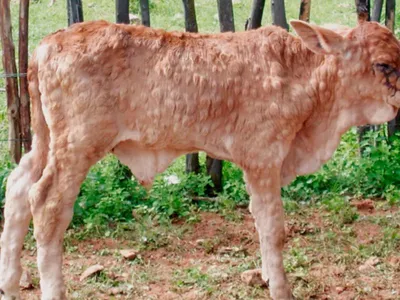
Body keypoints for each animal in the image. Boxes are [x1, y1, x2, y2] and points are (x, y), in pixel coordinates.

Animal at [0, 19, 400, 298]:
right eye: (384, 65)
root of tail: (47, 44)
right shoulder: (263, 158)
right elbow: (273, 227)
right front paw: (280, 288)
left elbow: (260, 222)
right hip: (77, 146)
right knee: (47, 205)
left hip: (46, 141)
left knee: (18, 188)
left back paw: (10, 285)